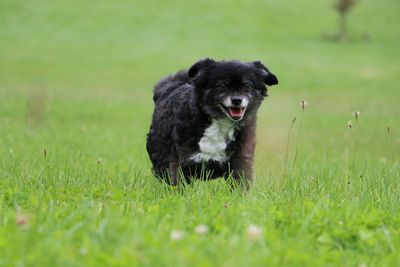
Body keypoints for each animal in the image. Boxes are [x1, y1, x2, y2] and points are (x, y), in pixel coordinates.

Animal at [146, 58, 278, 187]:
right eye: (222, 85)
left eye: (247, 86)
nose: (236, 100)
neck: (220, 123)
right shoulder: (181, 164)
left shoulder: (240, 161)